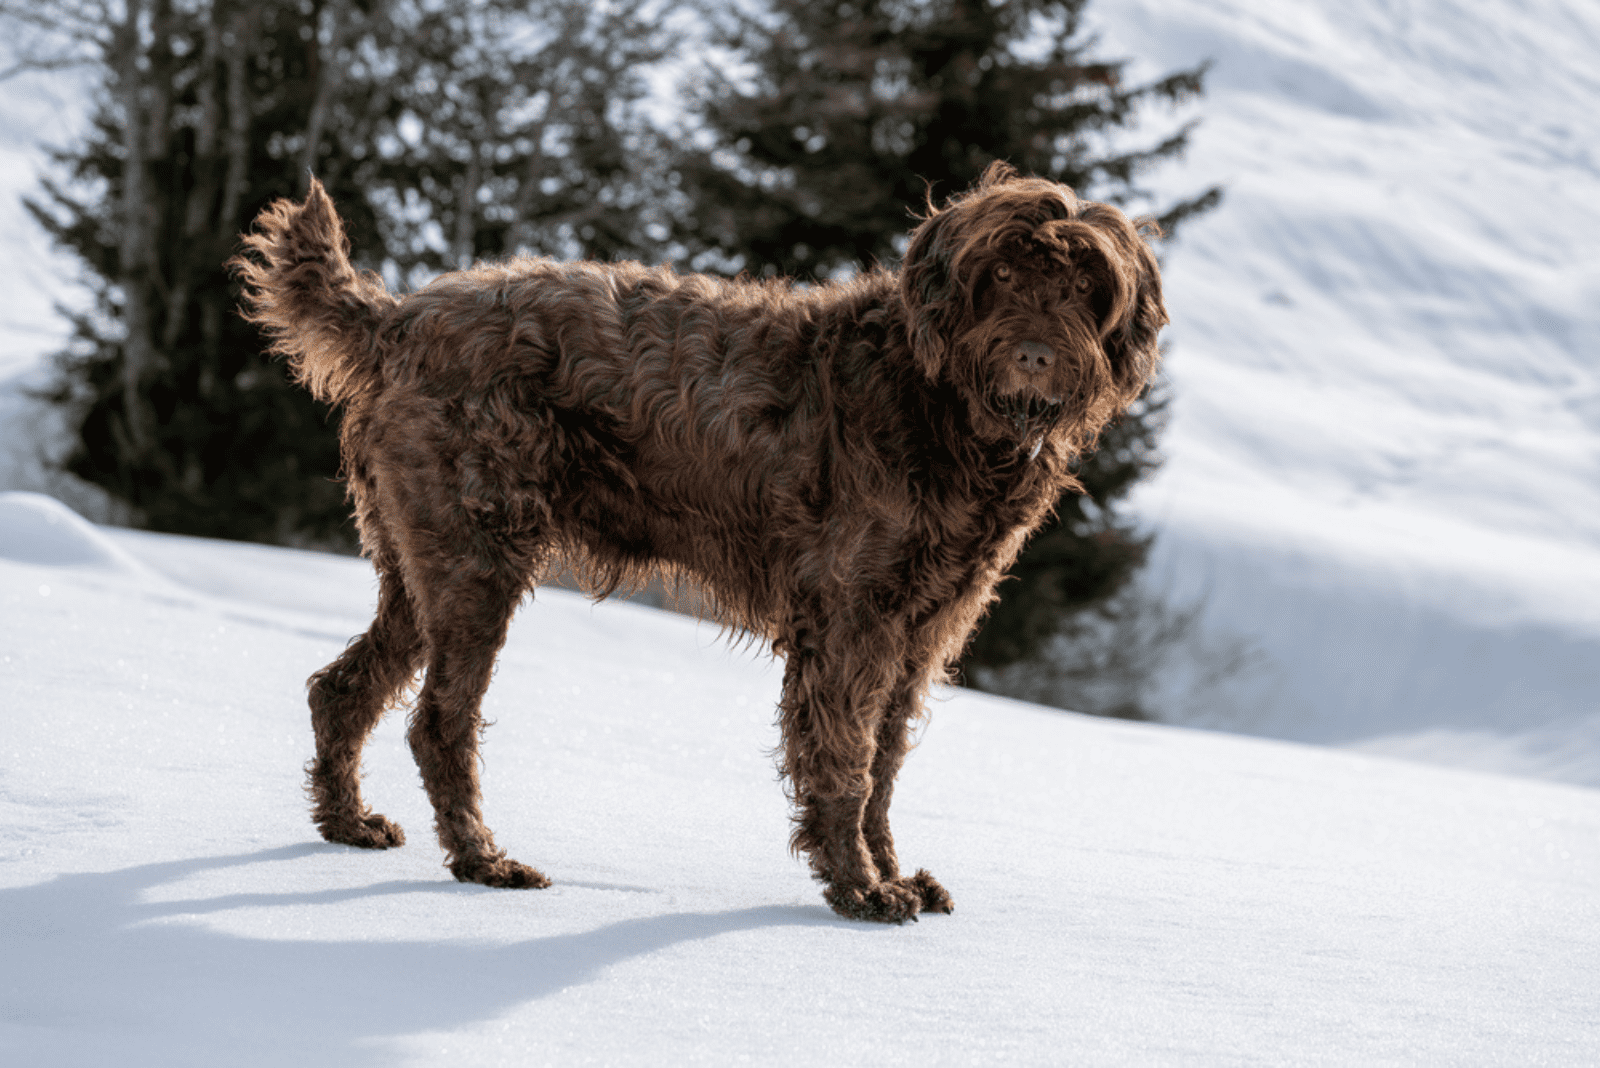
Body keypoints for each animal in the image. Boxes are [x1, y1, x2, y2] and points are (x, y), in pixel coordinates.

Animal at [233, 163, 1164, 920]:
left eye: (1084, 282)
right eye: (1002, 270)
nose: (1037, 356)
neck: (934, 402)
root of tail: (398, 318)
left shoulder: (926, 626)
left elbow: (886, 762)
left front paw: (890, 871)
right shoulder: (852, 621)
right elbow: (846, 759)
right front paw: (859, 889)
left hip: (417, 562)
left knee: (342, 688)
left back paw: (347, 823)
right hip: (476, 562)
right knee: (437, 723)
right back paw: (482, 862)